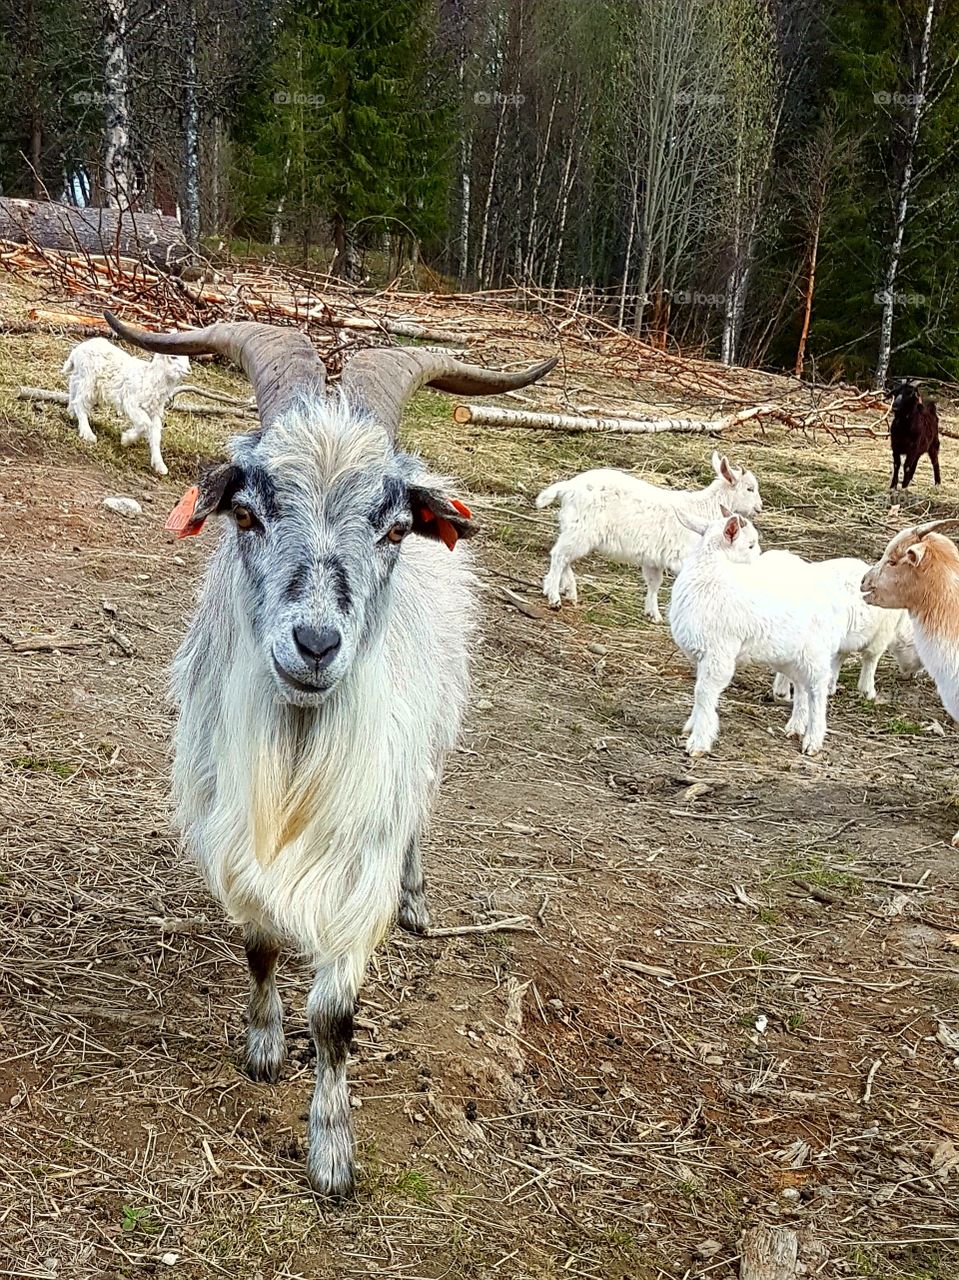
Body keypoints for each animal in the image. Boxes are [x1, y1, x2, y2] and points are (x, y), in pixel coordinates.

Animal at [63, 336, 190, 475]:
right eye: (173, 357)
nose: (189, 370)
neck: (149, 379)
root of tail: (78, 349)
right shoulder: (131, 403)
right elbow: (145, 424)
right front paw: (125, 439)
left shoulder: (155, 411)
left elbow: (156, 434)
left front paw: (160, 465)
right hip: (89, 379)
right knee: (80, 402)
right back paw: (88, 434)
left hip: (81, 376)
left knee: (73, 384)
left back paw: (71, 413)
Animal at [103, 310, 556, 1197]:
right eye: (246, 514)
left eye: (393, 529)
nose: (314, 644)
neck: (297, 756)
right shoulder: (233, 831)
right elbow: (259, 946)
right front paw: (263, 1049)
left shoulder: (361, 855)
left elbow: (336, 1015)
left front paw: (332, 1152)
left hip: (434, 740)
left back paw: (418, 905)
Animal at [536, 451, 763, 621]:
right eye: (749, 488)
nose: (759, 508)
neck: (703, 509)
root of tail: (567, 488)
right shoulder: (684, 557)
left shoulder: (654, 559)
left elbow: (654, 584)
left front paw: (653, 614)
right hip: (581, 531)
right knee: (559, 556)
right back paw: (554, 597)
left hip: (575, 530)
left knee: (564, 557)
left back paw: (569, 592)